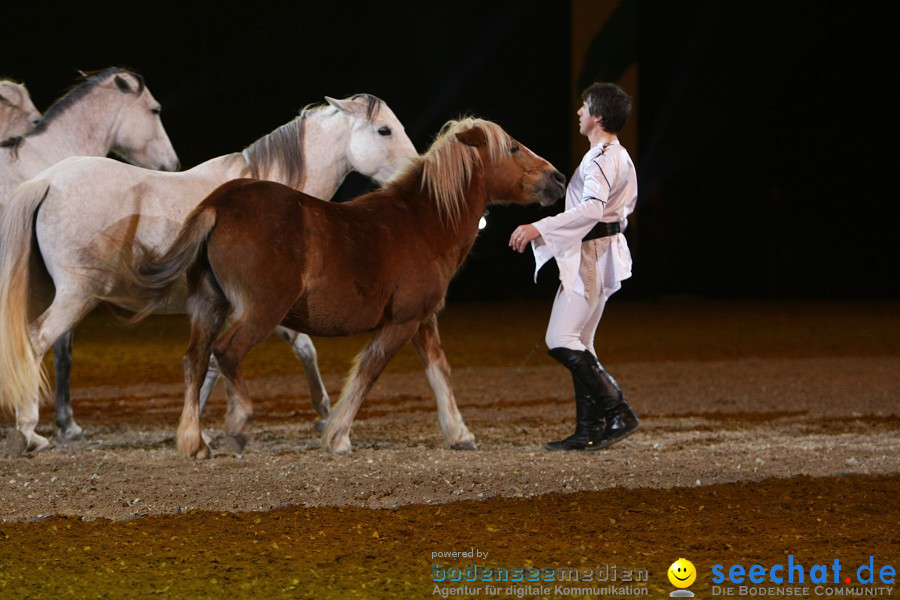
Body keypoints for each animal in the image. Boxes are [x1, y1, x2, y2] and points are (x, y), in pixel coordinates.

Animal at [0, 94, 414, 454]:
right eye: (384, 130)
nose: (414, 172)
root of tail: (47, 181)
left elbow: (215, 362)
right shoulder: (262, 307)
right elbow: (284, 350)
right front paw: (323, 415)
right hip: (77, 296)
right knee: (36, 341)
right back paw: (29, 432)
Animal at [102, 116, 564, 454]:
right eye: (513, 148)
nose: (558, 178)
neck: (422, 222)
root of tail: (220, 203)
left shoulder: (421, 320)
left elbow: (439, 372)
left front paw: (459, 433)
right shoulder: (399, 324)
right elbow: (367, 374)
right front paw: (337, 436)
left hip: (208, 306)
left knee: (195, 362)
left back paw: (194, 442)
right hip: (260, 311)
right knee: (226, 352)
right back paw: (240, 423)